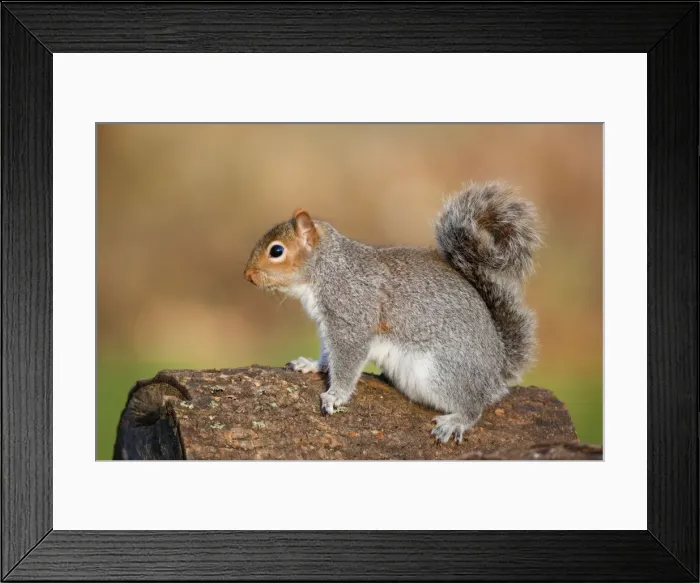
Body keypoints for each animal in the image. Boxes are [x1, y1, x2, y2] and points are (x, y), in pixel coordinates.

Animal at [243, 181, 542, 443]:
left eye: (277, 250)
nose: (247, 275)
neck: (327, 268)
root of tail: (495, 373)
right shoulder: (328, 325)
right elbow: (329, 355)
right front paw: (312, 365)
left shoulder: (352, 318)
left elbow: (347, 363)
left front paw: (335, 396)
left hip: (443, 372)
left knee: (474, 406)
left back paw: (456, 421)